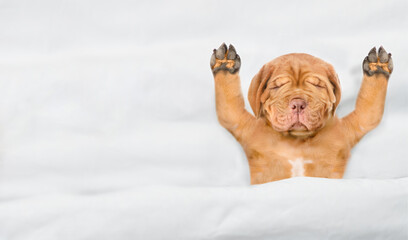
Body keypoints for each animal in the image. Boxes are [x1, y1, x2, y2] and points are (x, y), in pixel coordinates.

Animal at [210, 43, 392, 184]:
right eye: (277, 86)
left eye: (318, 85)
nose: (298, 104)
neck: (297, 140)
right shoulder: (245, 126)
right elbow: (229, 106)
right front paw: (225, 63)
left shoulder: (350, 129)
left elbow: (368, 107)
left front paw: (378, 67)